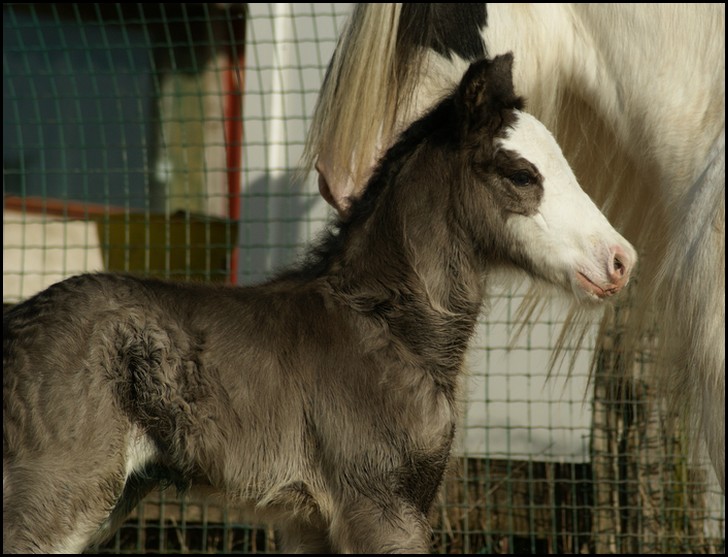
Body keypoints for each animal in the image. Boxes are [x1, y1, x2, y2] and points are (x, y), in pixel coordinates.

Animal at [2, 55, 636, 552]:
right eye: (521, 174)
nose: (621, 259)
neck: (387, 329)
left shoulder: (317, 521)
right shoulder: (378, 505)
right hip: (54, 489)